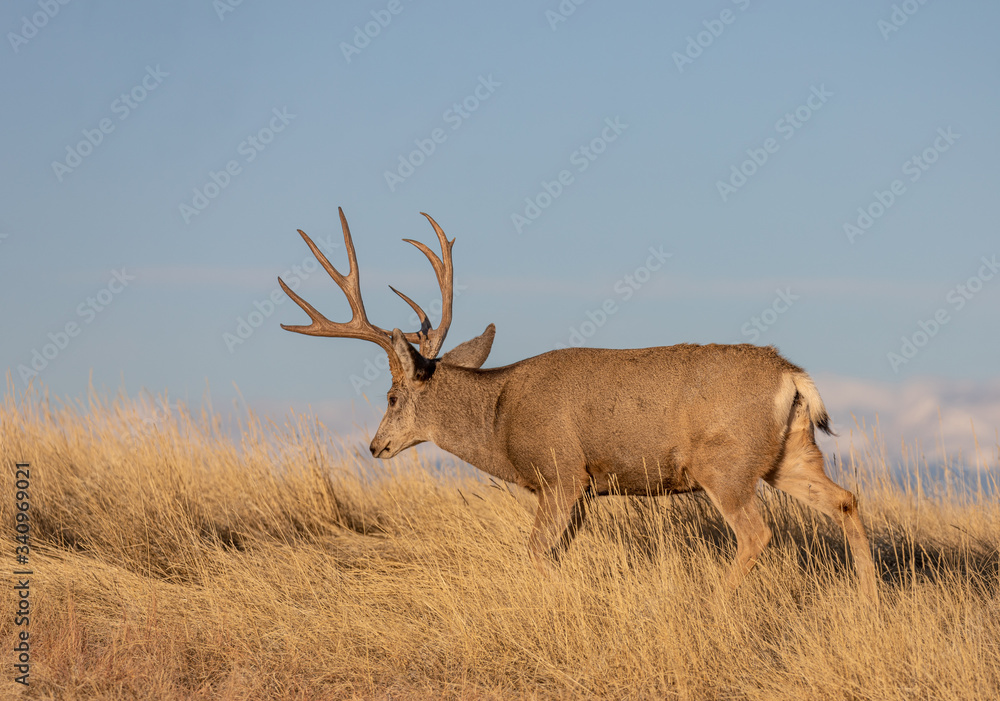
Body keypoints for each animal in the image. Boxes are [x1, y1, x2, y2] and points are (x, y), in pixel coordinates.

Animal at [278, 208, 879, 601]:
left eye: (391, 395)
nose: (374, 446)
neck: (498, 417)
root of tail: (792, 375)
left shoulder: (560, 471)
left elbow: (535, 555)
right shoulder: (584, 489)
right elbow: (553, 555)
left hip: (724, 464)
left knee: (757, 533)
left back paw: (716, 606)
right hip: (788, 455)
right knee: (845, 501)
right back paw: (867, 604)